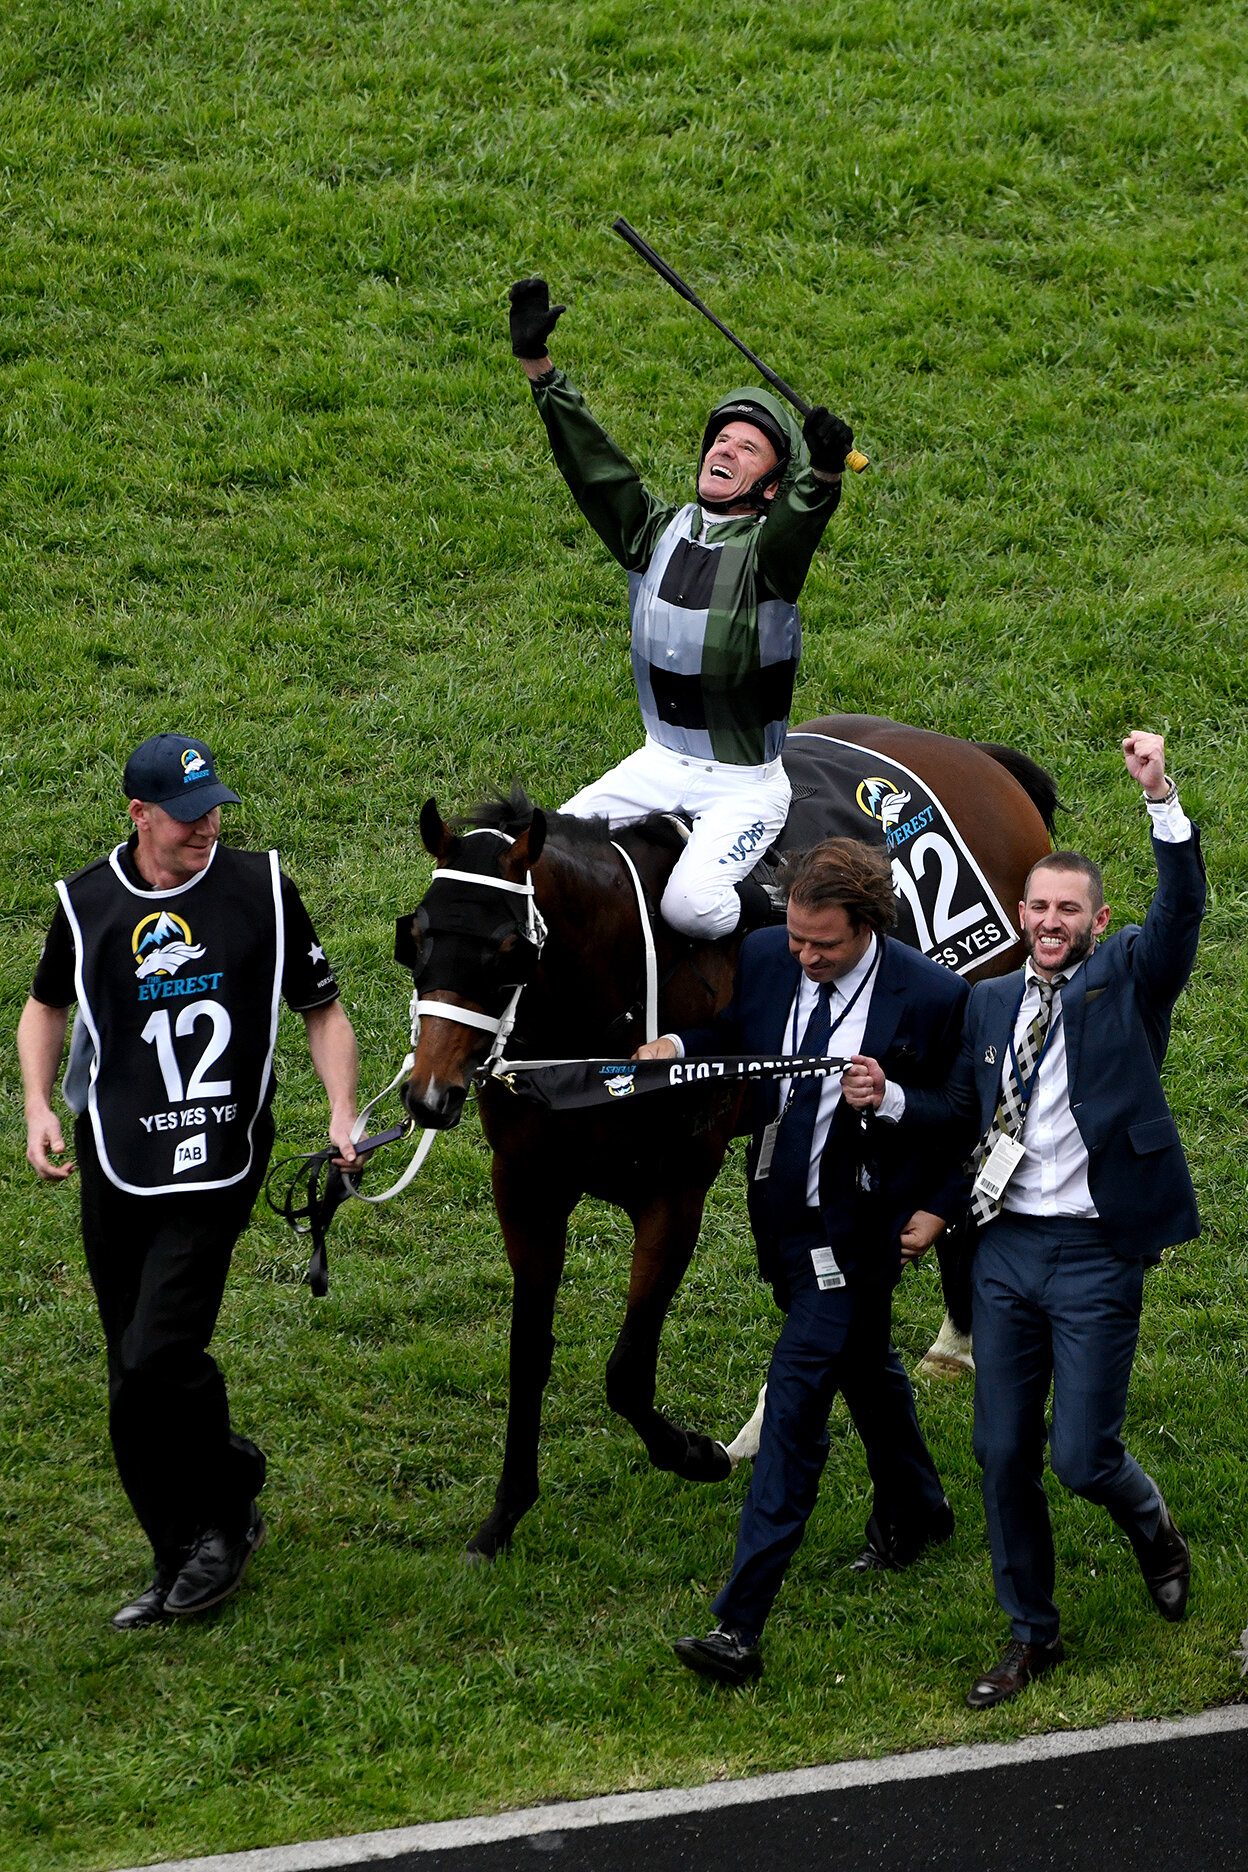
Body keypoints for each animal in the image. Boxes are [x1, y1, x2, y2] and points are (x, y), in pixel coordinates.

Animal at [400, 715, 1055, 1564]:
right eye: (415, 937)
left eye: (511, 949)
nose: (428, 1094)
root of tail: (977, 756)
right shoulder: (527, 1184)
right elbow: (528, 1351)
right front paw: (504, 1514)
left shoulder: (672, 1191)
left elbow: (627, 1371)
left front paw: (695, 1452)